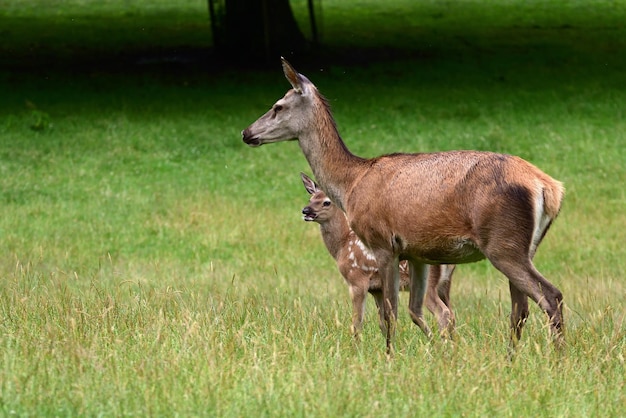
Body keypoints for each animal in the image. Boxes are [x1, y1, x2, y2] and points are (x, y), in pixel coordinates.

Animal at [298, 171, 454, 338]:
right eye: (311, 199)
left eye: (326, 202)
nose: (305, 211)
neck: (342, 246)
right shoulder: (376, 289)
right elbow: (383, 323)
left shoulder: (357, 280)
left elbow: (357, 323)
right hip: (444, 284)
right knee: (452, 313)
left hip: (429, 283)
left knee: (443, 312)